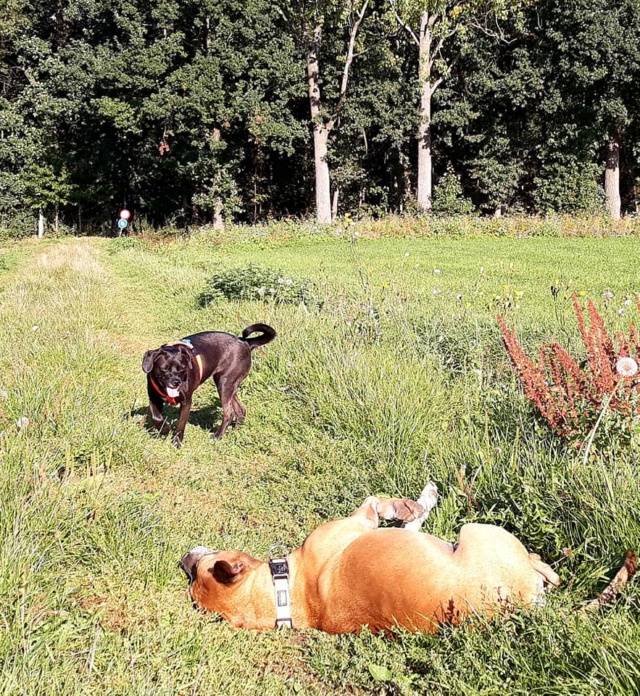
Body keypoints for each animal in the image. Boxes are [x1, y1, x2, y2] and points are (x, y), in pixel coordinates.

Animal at [142, 324, 276, 446]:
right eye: (164, 368)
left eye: (183, 368)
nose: (176, 382)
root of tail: (245, 342)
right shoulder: (153, 398)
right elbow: (156, 417)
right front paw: (164, 429)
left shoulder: (186, 402)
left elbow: (181, 424)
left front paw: (177, 442)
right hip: (228, 384)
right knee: (240, 410)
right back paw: (236, 432)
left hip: (224, 383)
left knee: (229, 413)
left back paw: (218, 436)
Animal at [180, 484, 636, 636]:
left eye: (196, 571)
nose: (184, 557)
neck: (286, 596)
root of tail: (525, 606)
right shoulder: (360, 522)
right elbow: (384, 509)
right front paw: (411, 505)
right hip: (478, 530)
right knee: (544, 566)